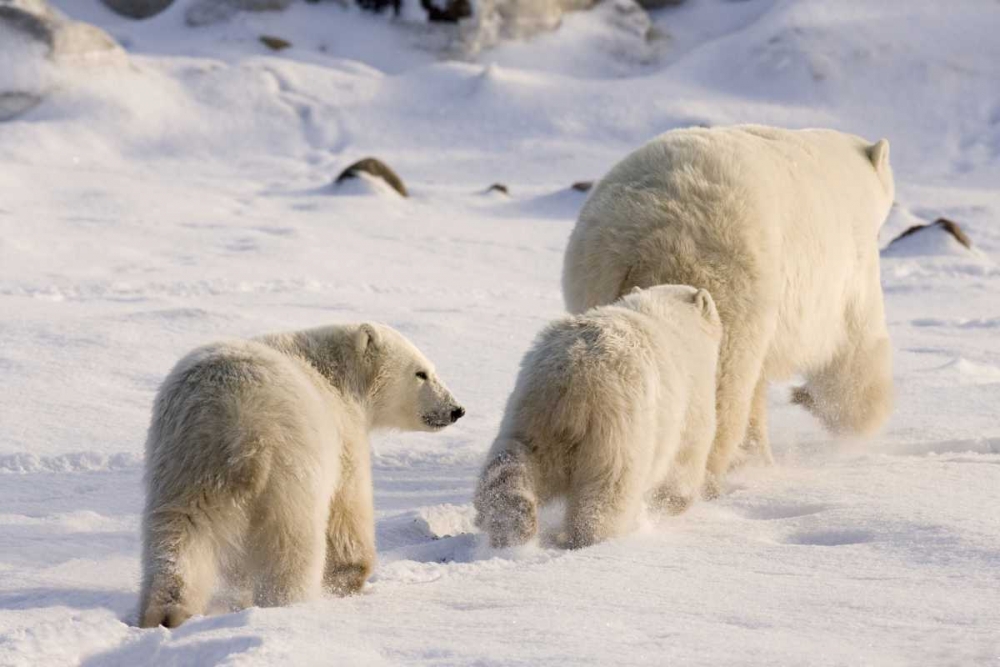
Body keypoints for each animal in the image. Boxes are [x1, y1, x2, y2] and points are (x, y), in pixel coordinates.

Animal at [138, 322, 464, 628]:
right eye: (421, 373)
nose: (456, 409)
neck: (335, 372)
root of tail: (235, 422)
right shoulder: (343, 434)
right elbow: (348, 507)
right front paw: (351, 577)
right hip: (290, 466)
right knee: (293, 542)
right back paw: (290, 604)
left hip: (183, 462)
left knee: (180, 533)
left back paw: (167, 613)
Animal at [474, 284, 720, 552]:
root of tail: (572, 378)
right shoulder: (691, 394)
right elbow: (687, 454)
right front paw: (675, 503)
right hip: (615, 430)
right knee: (608, 489)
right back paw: (592, 538)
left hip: (529, 417)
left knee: (509, 466)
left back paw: (511, 529)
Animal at [564, 124, 900, 486]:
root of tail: (639, 240)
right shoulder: (848, 267)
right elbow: (854, 347)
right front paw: (851, 416)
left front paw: (759, 456)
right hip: (726, 281)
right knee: (720, 381)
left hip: (593, 280)